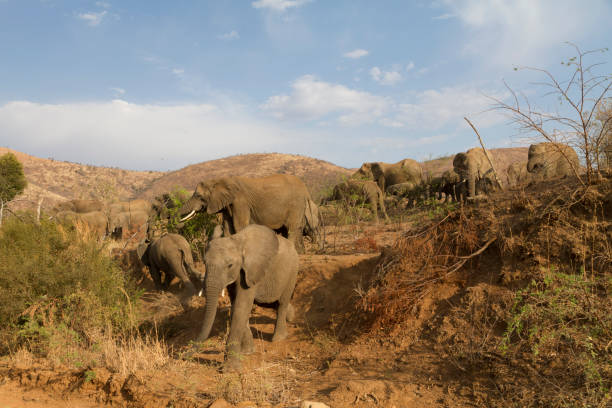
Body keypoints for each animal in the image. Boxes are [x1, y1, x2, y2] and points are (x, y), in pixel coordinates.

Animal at [176, 175, 310, 252]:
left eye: (199, 196)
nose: (178, 222)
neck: (219, 180)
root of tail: (305, 188)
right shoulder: (227, 205)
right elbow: (228, 228)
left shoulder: (241, 201)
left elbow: (239, 225)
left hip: (296, 204)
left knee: (291, 228)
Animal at [198, 225, 298, 372]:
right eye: (204, 263)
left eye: (230, 265)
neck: (237, 242)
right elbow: (236, 306)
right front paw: (247, 352)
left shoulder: (251, 272)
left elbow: (242, 306)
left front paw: (230, 370)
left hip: (292, 271)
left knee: (282, 303)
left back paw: (278, 339)